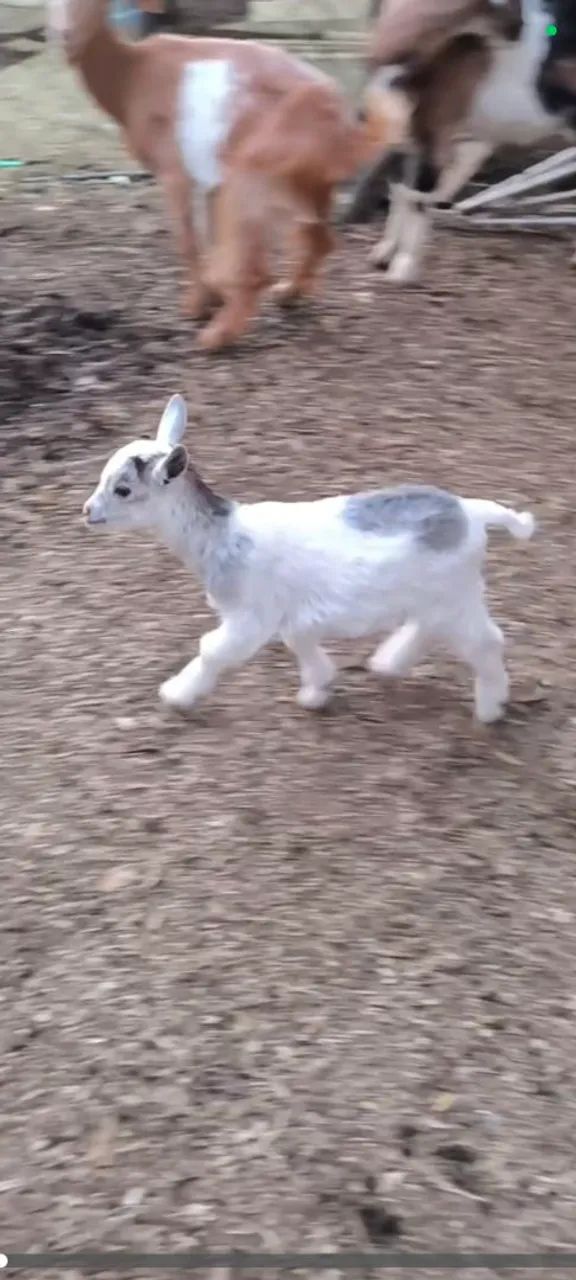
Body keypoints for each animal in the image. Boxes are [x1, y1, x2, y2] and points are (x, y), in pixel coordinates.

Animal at [47, 0, 384, 350]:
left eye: (96, 5)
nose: (65, 36)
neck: (133, 74)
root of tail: (341, 123)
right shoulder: (210, 177)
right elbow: (210, 238)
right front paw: (213, 294)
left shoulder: (175, 172)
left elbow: (189, 242)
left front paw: (197, 305)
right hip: (309, 180)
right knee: (319, 239)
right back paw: (287, 295)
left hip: (254, 168)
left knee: (258, 270)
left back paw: (217, 336)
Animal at [83, 394, 535, 724]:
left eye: (123, 489)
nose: (87, 511)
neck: (224, 537)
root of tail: (471, 512)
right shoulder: (293, 614)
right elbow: (299, 642)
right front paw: (317, 691)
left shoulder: (251, 617)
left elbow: (212, 650)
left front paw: (176, 695)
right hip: (439, 597)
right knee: (429, 627)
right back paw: (389, 663)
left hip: (456, 595)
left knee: (486, 641)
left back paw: (490, 707)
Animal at [354, 0, 576, 283]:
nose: (521, 28)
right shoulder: (408, 137)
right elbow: (400, 191)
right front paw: (382, 255)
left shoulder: (436, 132)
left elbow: (417, 196)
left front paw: (401, 270)